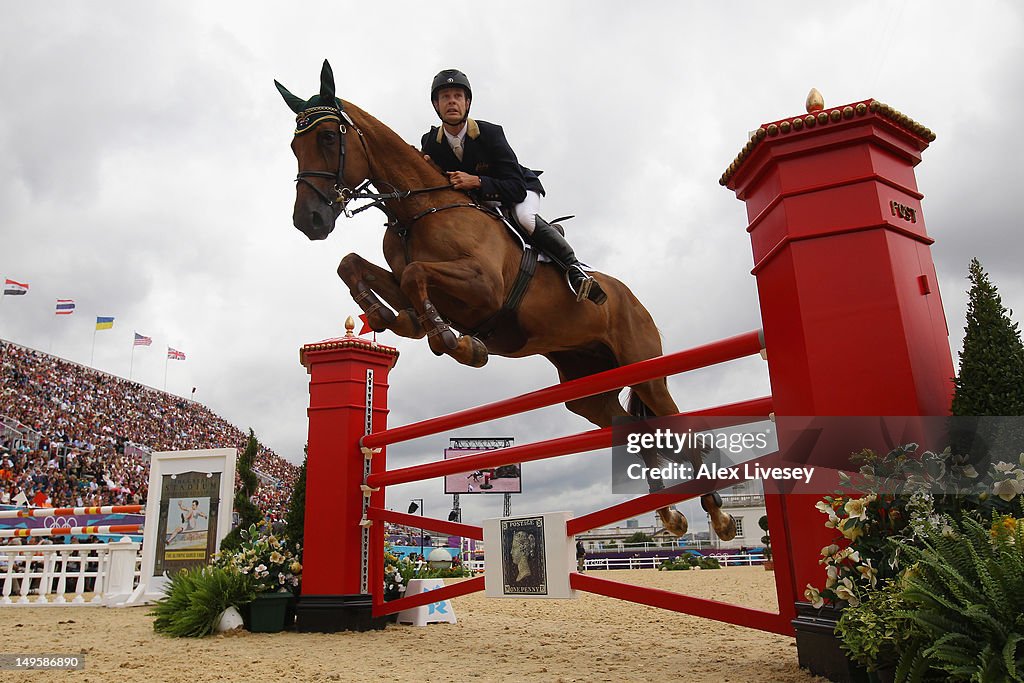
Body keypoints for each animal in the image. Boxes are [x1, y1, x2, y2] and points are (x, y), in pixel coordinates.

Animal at [276, 61, 733, 540]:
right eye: (294, 145)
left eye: (329, 139)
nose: (309, 221)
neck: (415, 211)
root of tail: (633, 301)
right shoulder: (409, 281)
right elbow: (355, 265)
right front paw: (390, 316)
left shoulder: (483, 287)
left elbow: (419, 275)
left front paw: (453, 342)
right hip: (586, 388)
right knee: (634, 430)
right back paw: (670, 512)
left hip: (645, 369)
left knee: (678, 426)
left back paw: (717, 512)